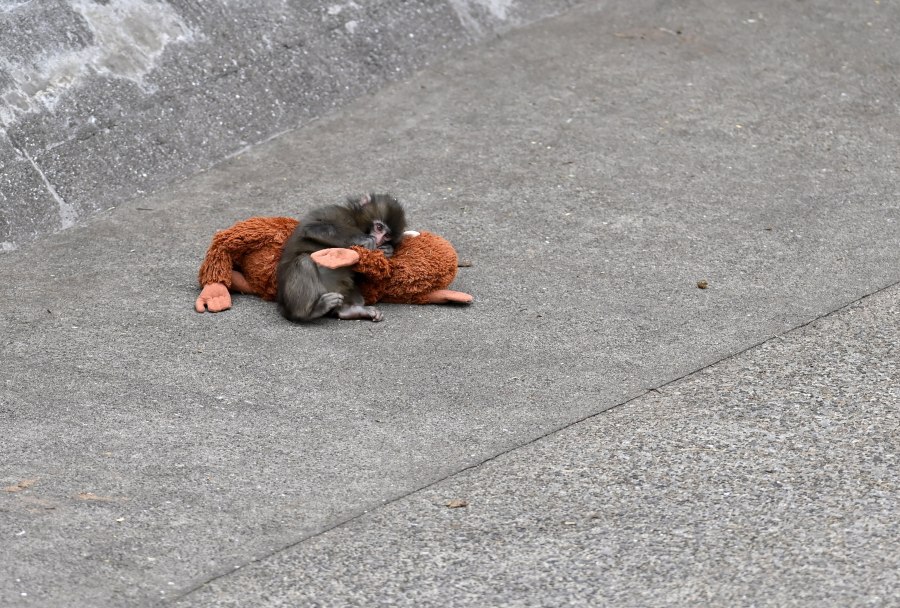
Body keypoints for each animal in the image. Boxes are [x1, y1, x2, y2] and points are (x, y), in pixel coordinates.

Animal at [276, 193, 407, 323]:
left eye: (387, 236)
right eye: (379, 227)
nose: (379, 240)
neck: (355, 221)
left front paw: (388, 250)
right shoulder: (336, 212)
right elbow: (311, 228)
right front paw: (363, 239)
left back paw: (348, 311)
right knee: (304, 262)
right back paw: (309, 312)